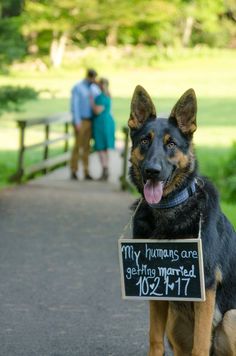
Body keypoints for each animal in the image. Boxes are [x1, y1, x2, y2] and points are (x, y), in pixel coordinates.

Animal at [128, 87, 236, 356]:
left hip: (231, 317)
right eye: (145, 141)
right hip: (174, 323)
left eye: (171, 144)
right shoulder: (156, 285)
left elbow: (200, 345)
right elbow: (155, 340)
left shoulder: (206, 288)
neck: (168, 211)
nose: (152, 171)